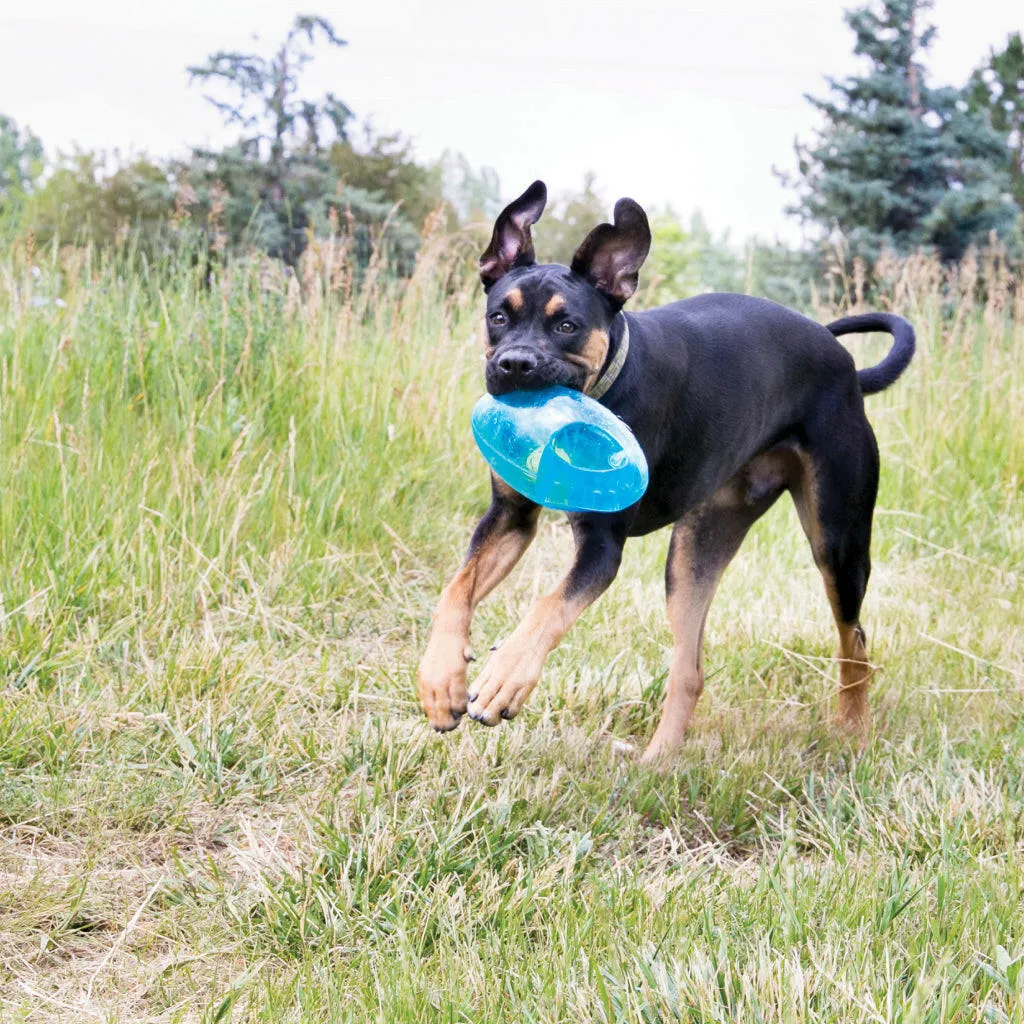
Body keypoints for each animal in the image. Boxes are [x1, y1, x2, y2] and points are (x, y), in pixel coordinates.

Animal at [415, 180, 913, 765]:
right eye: (498, 316)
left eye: (567, 325)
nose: (514, 364)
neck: (607, 385)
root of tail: (845, 366)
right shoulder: (509, 518)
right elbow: (456, 590)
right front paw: (440, 679)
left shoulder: (601, 548)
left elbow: (549, 606)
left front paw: (504, 678)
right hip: (696, 548)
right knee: (690, 668)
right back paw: (657, 762)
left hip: (838, 542)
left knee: (855, 642)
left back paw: (854, 733)